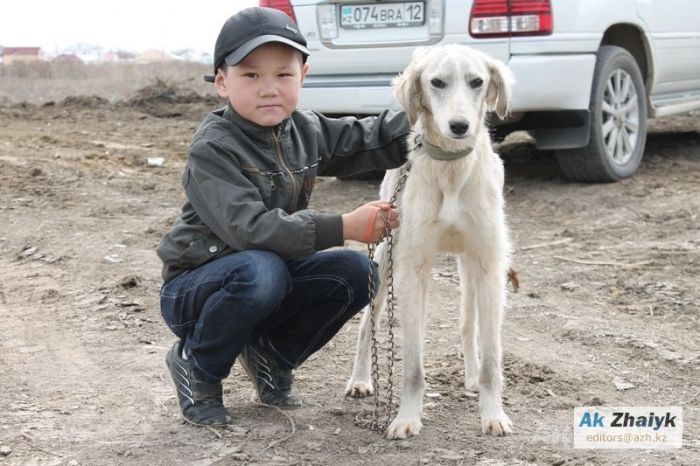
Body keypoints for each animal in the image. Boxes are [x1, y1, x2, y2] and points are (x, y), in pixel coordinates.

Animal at [344, 44, 516, 440]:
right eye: (437, 82)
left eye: (477, 82)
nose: (459, 126)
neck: (451, 168)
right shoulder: (412, 268)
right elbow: (412, 364)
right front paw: (407, 417)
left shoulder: (489, 265)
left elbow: (492, 359)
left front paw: (493, 414)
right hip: (383, 257)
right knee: (367, 323)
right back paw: (360, 380)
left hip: (469, 266)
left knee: (467, 323)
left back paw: (470, 377)